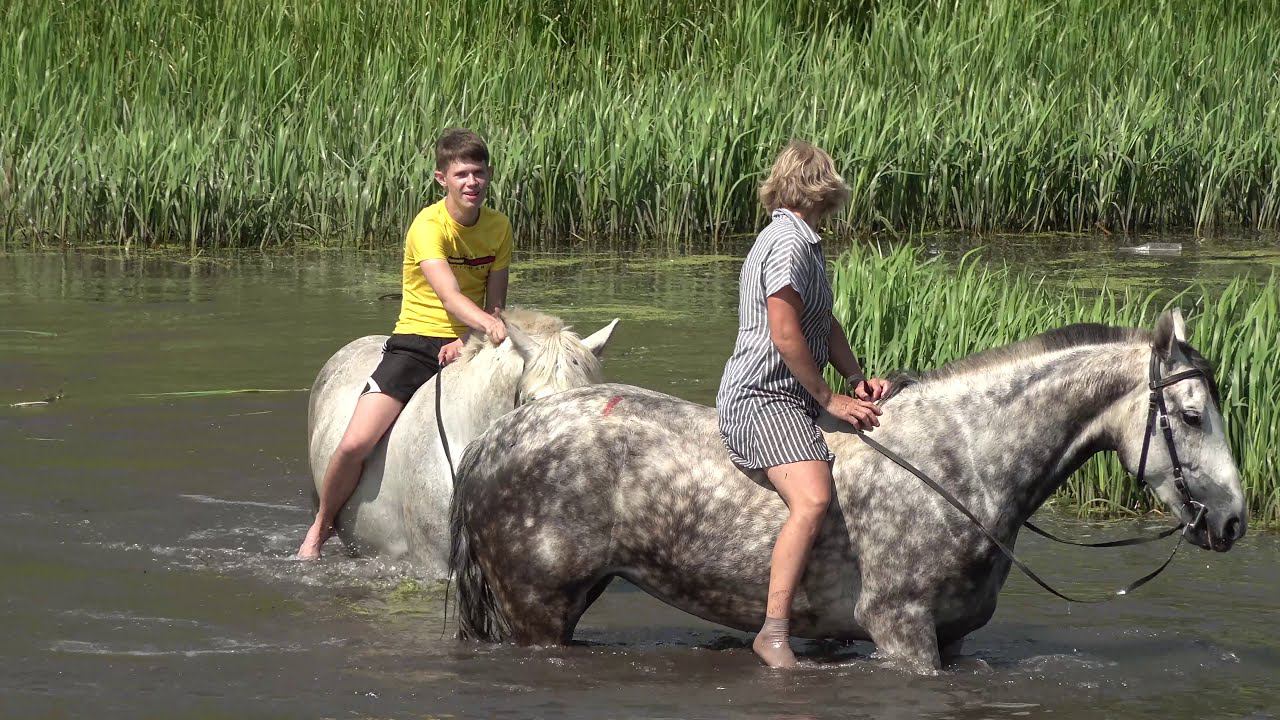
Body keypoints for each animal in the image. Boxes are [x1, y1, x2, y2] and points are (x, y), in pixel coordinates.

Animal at [450, 311, 1239, 671]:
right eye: (1191, 415)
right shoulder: (902, 629)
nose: (1232, 521)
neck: (964, 460)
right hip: (535, 610)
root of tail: (495, 439)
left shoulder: (950, 637)